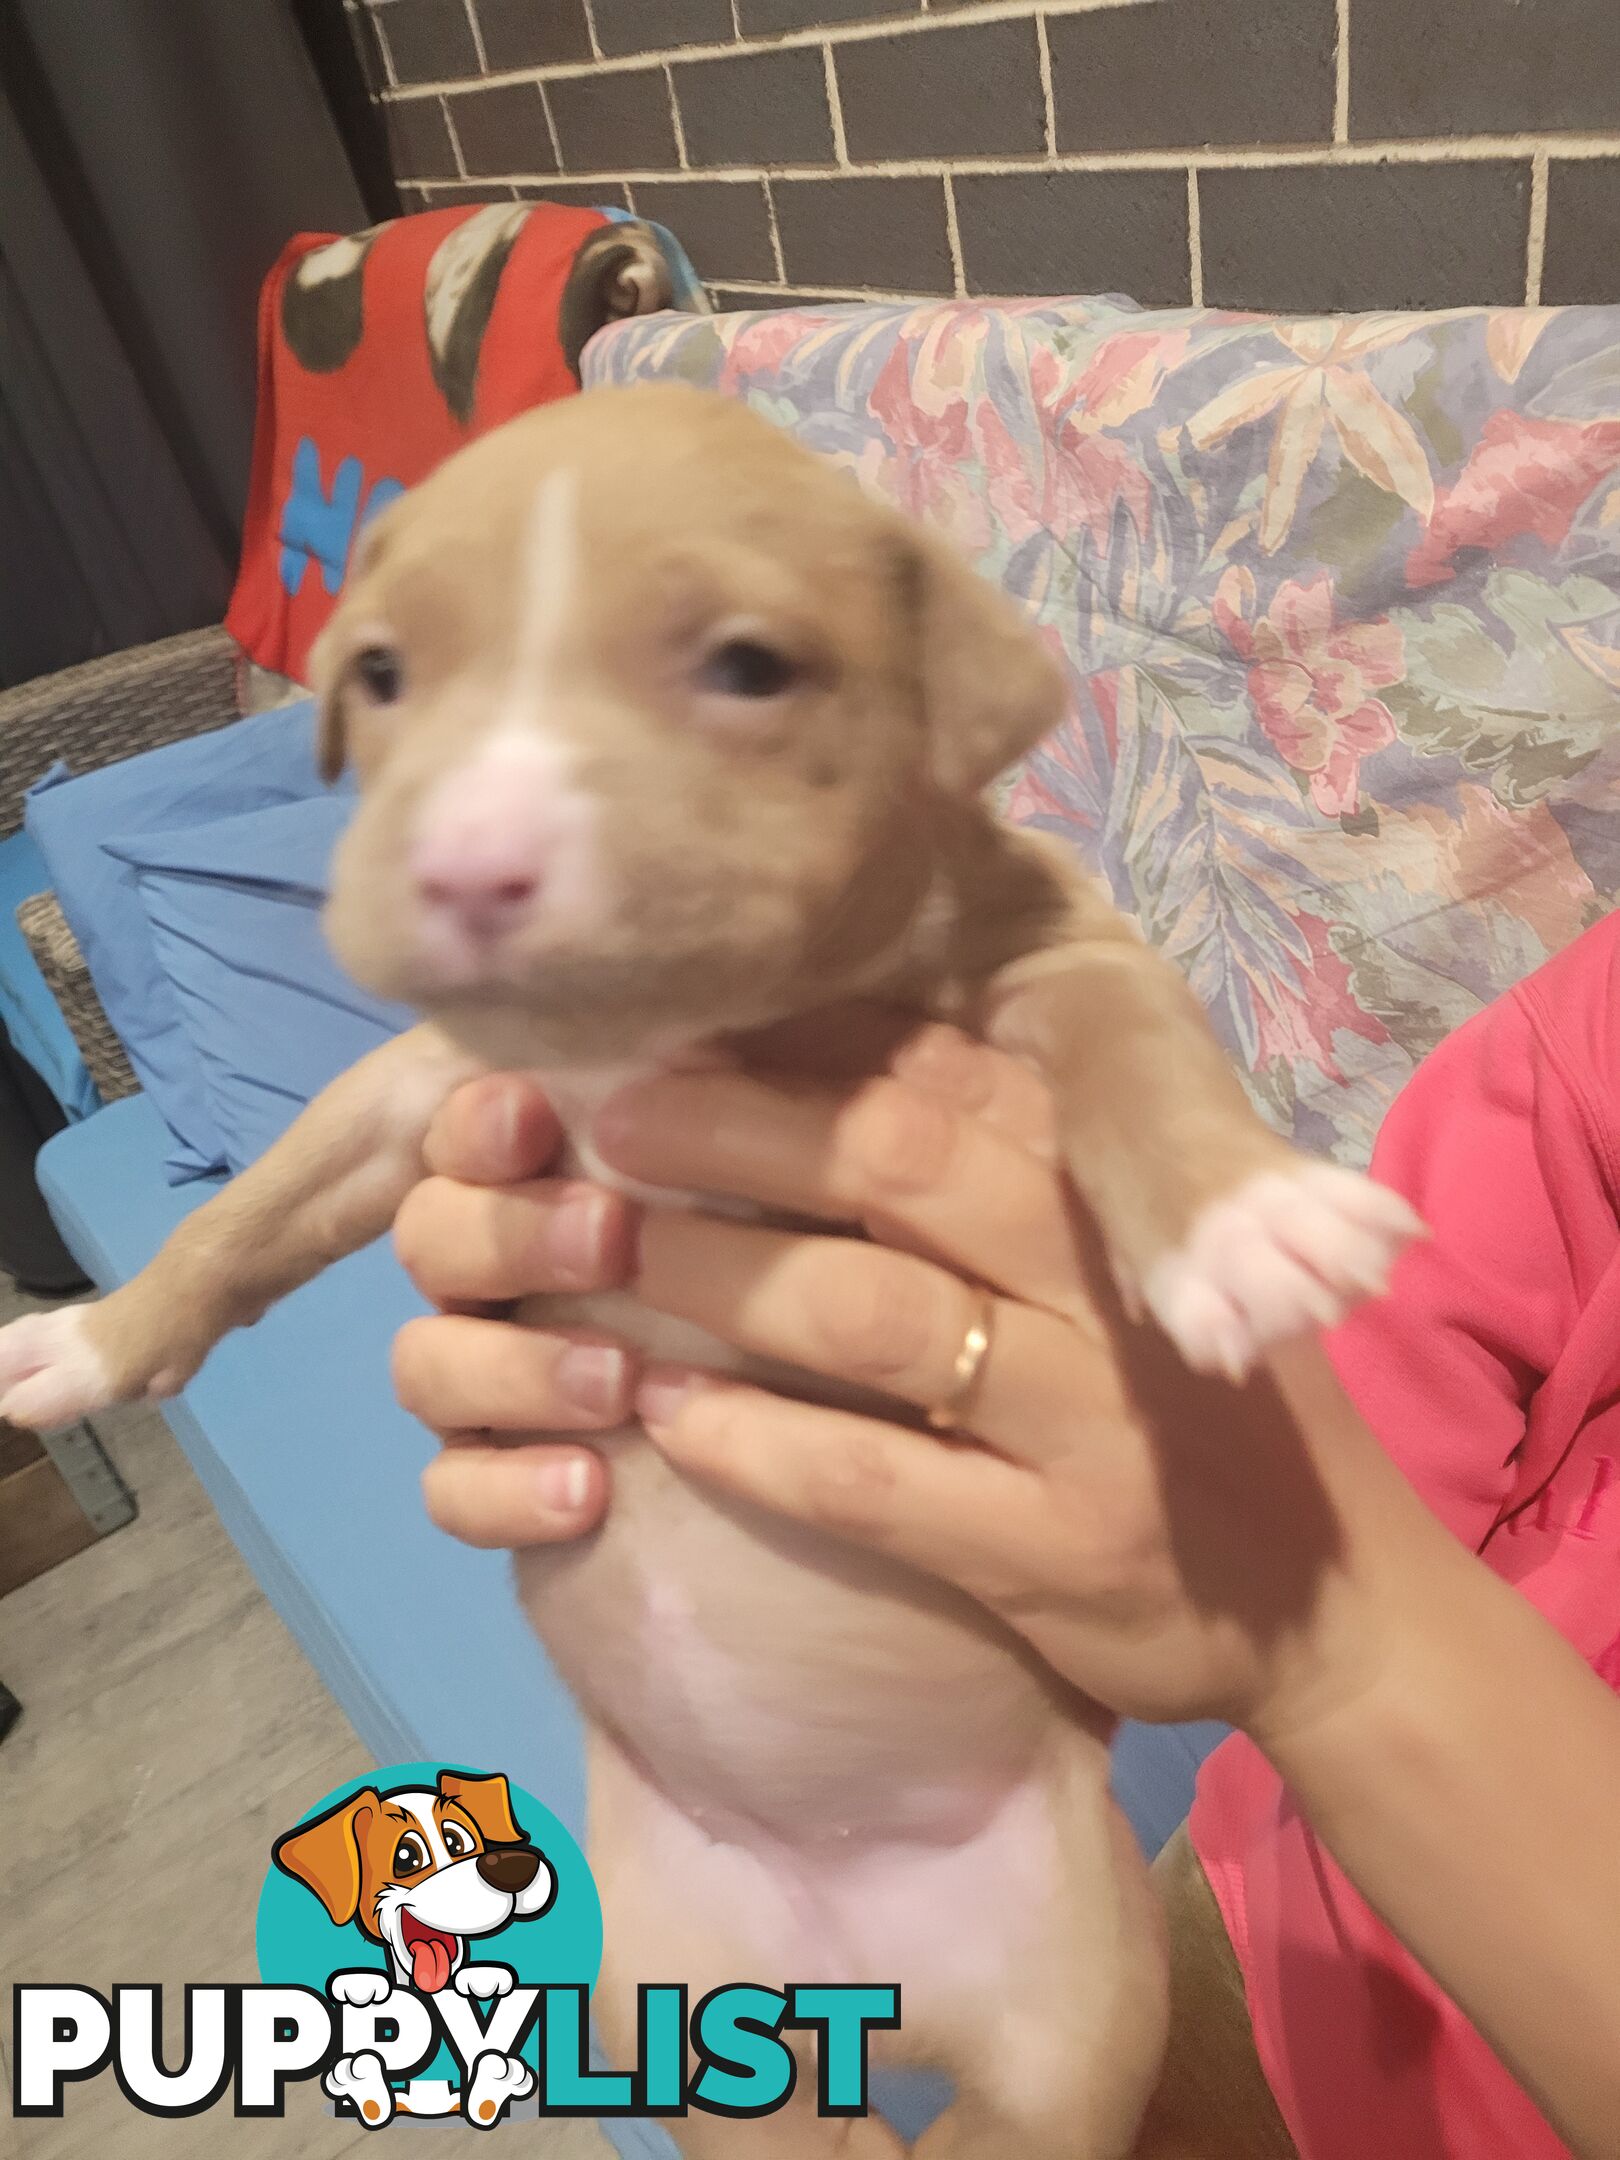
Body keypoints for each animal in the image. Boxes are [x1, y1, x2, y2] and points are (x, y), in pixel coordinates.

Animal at [0, 388, 1416, 2160]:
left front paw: (1247, 1220)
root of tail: (867, 1986)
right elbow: (248, 1215)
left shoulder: (1055, 952)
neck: (661, 1038)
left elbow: (1134, 1053)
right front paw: (94, 1344)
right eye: (380, 675)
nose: (468, 864)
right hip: (670, 1991)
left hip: (1081, 2014)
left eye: (748, 667)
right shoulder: (422, 1089)